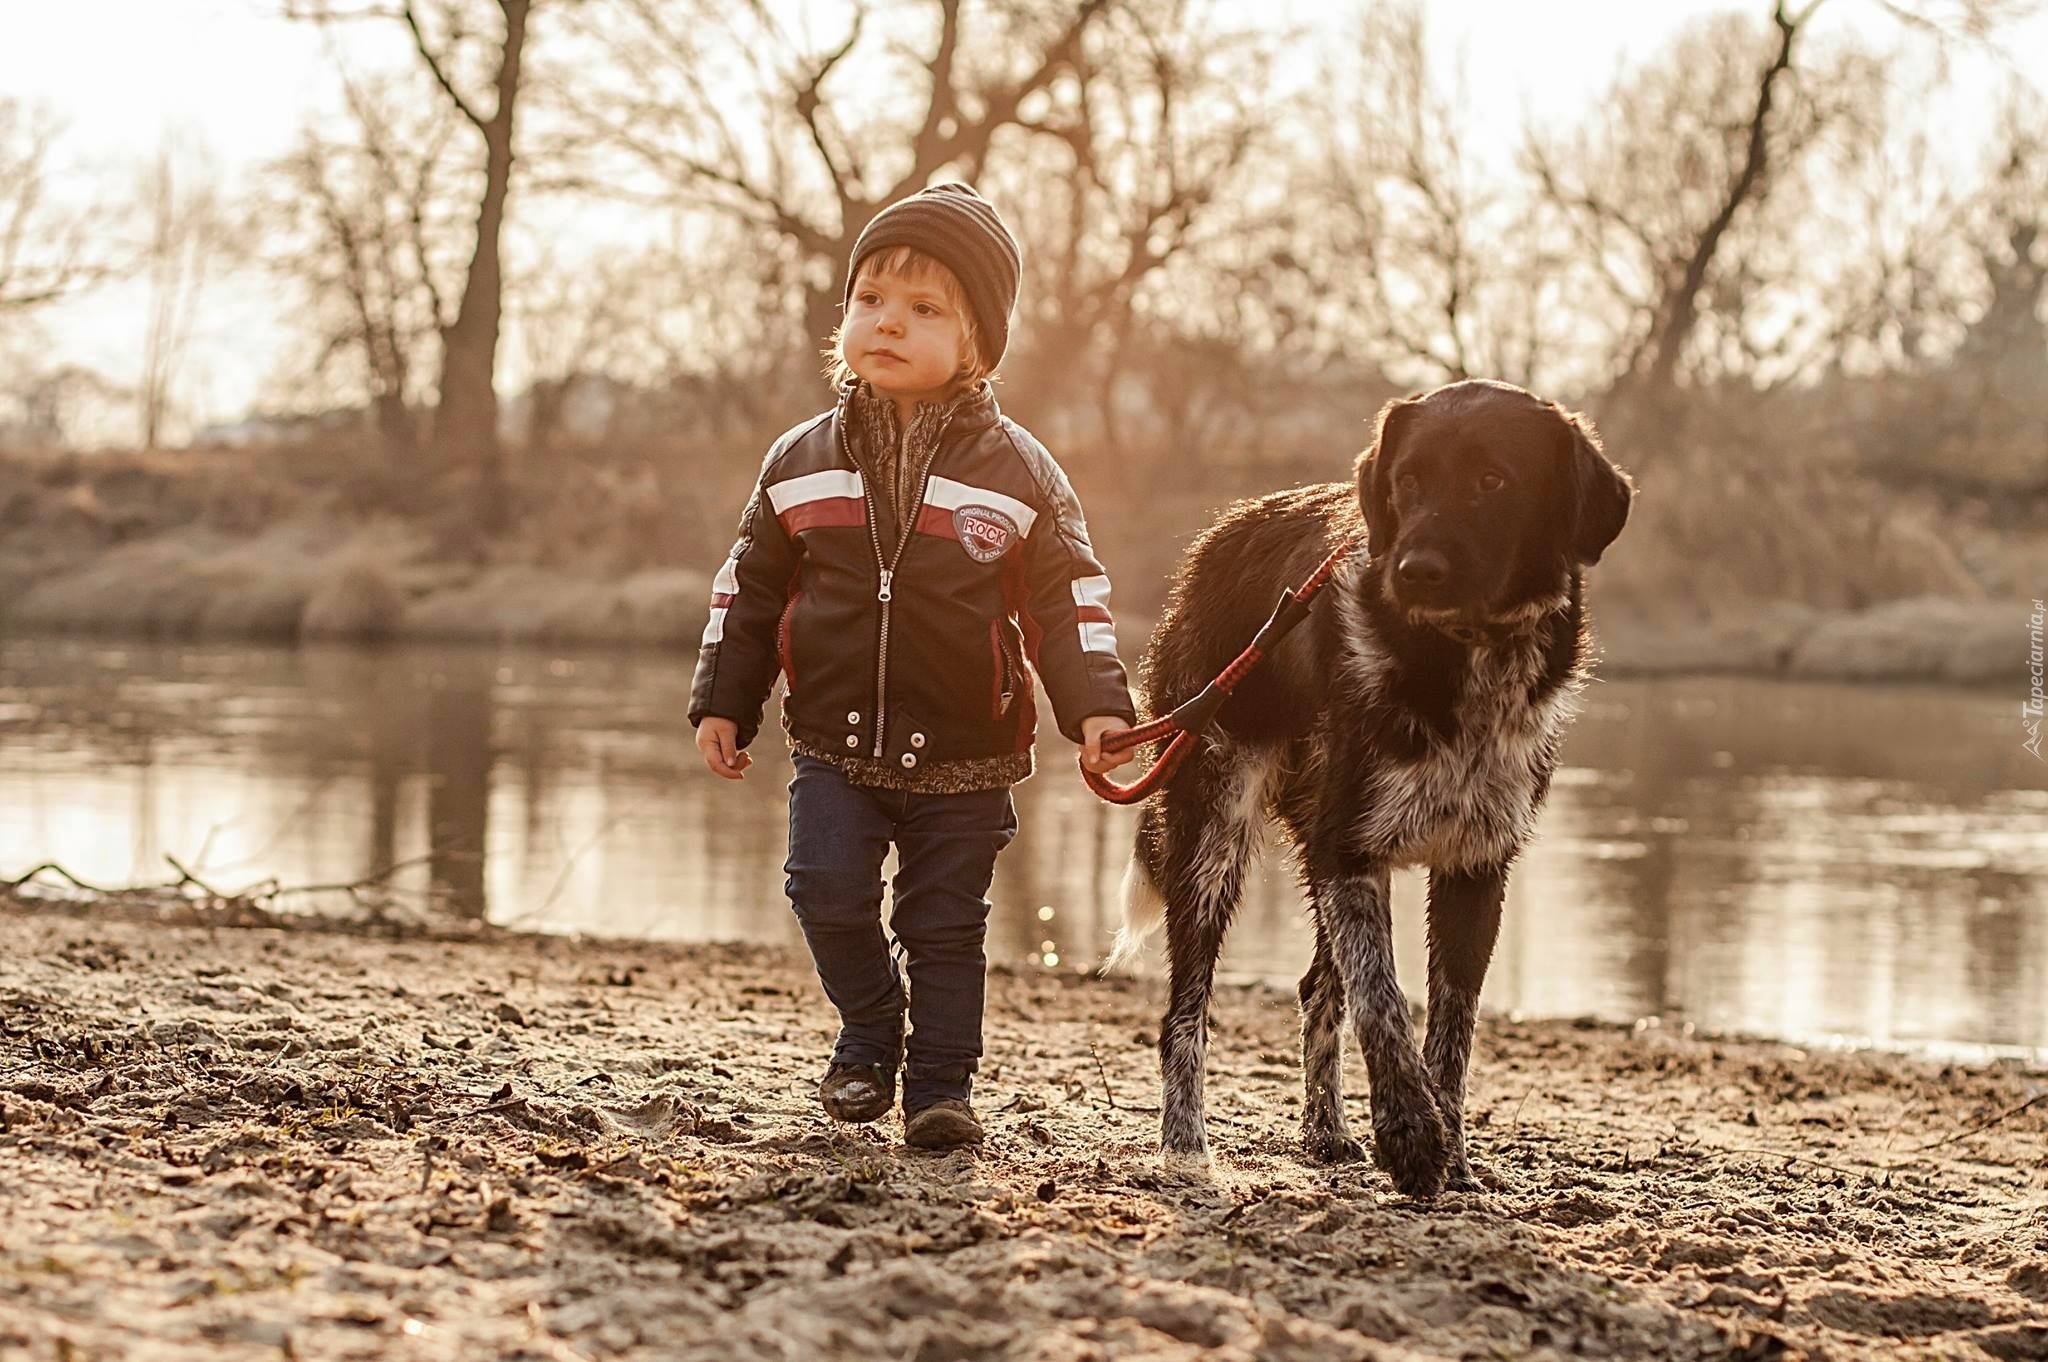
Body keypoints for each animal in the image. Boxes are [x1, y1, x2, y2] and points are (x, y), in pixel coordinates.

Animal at [1105, 376, 1630, 1196]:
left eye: (1493, 481)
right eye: (1407, 481)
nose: (1414, 569)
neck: (1460, 659)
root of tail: (1219, 538)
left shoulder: (1473, 868)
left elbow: (1450, 1028)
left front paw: (1452, 1153)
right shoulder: (1351, 856)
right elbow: (1382, 998)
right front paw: (1411, 1135)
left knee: (1316, 987)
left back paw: (1325, 1132)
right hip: (1214, 835)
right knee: (1185, 1012)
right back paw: (1185, 1145)